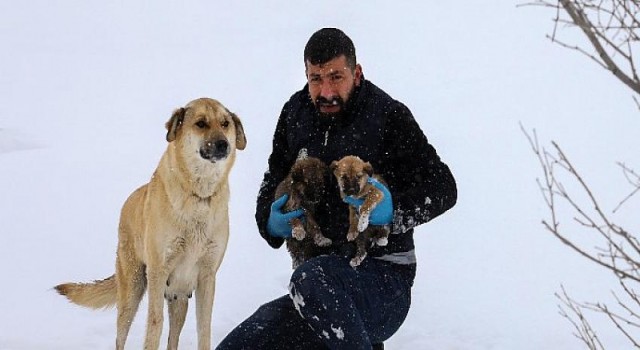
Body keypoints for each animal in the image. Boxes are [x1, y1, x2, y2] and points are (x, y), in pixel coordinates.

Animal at [54, 98, 248, 350]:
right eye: (201, 123)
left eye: (225, 124)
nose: (223, 145)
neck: (198, 196)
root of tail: (126, 203)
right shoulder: (158, 271)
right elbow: (155, 325)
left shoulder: (207, 275)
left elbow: (204, 328)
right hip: (132, 290)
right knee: (121, 335)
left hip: (179, 295)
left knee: (173, 337)